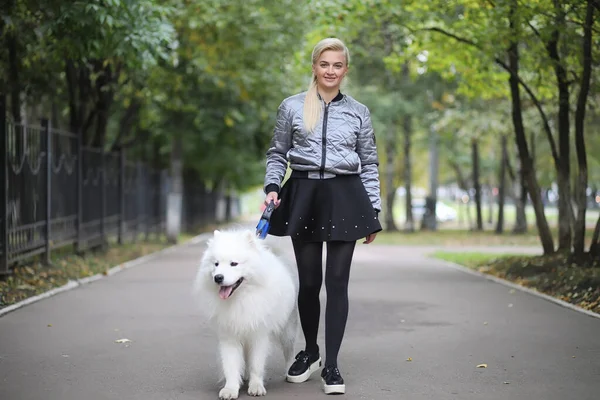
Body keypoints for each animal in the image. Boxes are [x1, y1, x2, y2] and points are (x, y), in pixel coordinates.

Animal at [193, 230, 298, 398]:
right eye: (216, 264)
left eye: (234, 264)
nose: (218, 277)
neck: (240, 299)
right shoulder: (229, 336)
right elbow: (230, 365)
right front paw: (230, 389)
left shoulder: (258, 335)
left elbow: (256, 364)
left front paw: (256, 386)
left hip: (288, 328)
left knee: (289, 350)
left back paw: (290, 371)